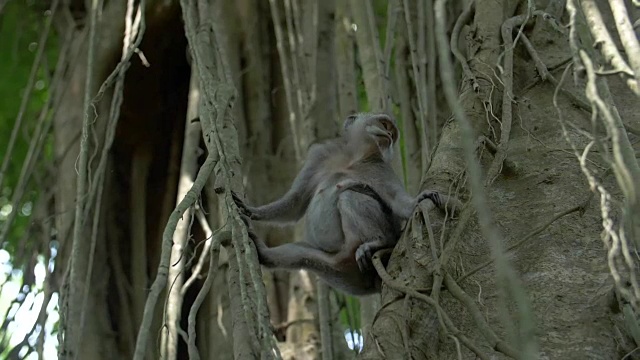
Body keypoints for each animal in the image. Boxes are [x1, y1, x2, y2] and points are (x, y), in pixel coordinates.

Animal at [235, 113, 460, 296]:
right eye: (385, 124)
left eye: (391, 131)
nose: (389, 134)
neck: (353, 158)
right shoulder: (319, 155)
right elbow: (295, 202)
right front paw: (253, 211)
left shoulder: (378, 167)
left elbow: (396, 202)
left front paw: (419, 200)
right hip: (338, 266)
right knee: (304, 255)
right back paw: (265, 254)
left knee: (349, 196)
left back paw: (379, 242)